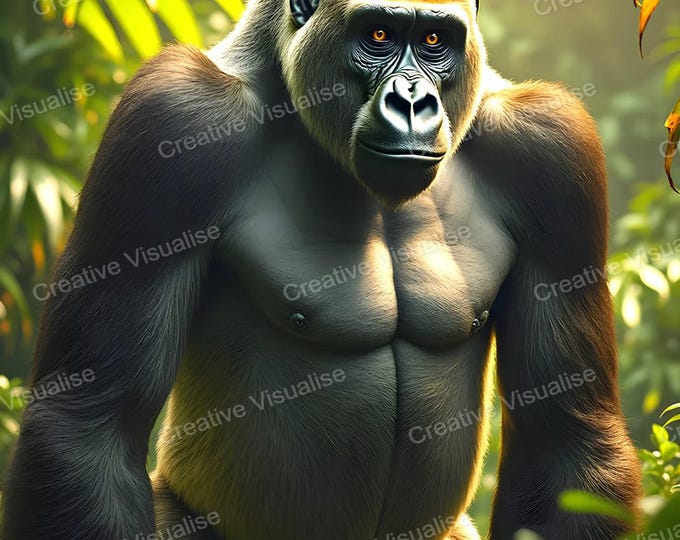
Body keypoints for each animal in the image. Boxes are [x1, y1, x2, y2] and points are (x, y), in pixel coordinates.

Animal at [3, 0, 642, 539]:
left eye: (434, 40)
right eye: (378, 35)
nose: (413, 101)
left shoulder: (549, 144)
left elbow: (566, 440)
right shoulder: (174, 116)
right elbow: (89, 426)